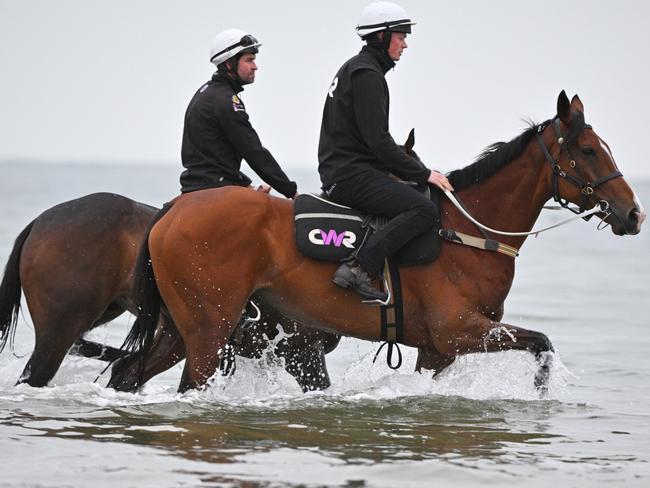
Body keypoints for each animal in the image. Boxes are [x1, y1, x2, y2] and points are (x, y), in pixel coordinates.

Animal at [124, 91, 640, 392]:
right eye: (588, 150)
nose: (634, 214)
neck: (468, 232)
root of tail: (176, 209)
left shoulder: (438, 350)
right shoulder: (460, 331)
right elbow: (543, 343)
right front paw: (539, 392)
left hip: (181, 329)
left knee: (127, 372)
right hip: (209, 331)